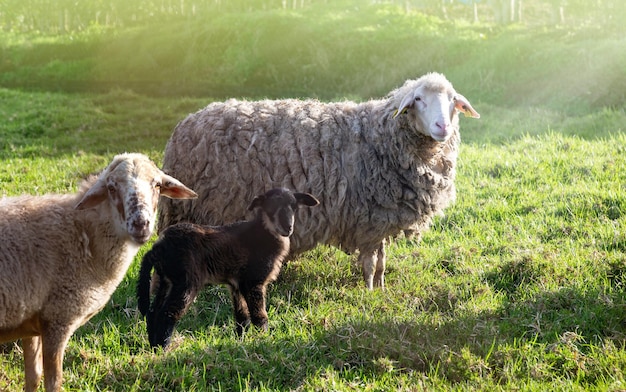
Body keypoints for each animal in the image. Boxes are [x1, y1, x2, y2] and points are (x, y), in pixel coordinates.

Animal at [0, 153, 196, 392]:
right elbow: (53, 382)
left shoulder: (33, 320)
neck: (83, 232)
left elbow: (33, 376)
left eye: (157, 185)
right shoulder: (58, 318)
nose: (140, 224)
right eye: (111, 188)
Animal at [133, 188, 314, 348]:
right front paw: (264, 337)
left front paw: (241, 341)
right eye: (270, 207)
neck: (264, 233)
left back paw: (154, 347)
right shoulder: (254, 281)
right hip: (185, 280)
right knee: (167, 314)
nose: (288, 227)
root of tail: (157, 248)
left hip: (167, 279)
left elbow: (242, 317)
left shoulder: (236, 284)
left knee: (153, 312)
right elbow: (259, 315)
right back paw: (164, 347)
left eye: (294, 206)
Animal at [158, 72, 480, 290]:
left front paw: (381, 288)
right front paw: (368, 292)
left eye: (453, 101)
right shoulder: (367, 219)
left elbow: (381, 261)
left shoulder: (380, 220)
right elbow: (369, 263)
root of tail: (185, 125)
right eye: (418, 99)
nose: (442, 126)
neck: (381, 136)